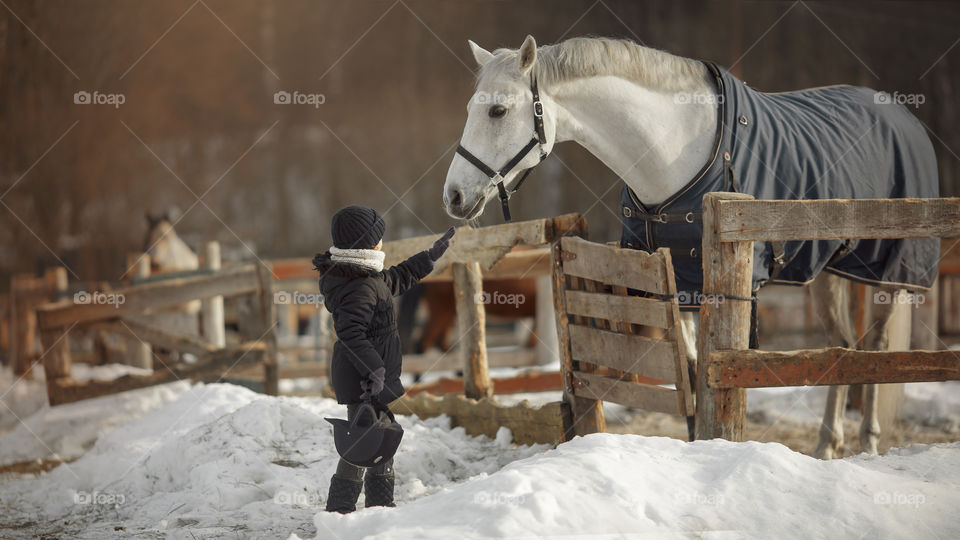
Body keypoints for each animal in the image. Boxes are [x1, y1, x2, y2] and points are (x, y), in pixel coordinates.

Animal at [442, 35, 916, 458]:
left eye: (498, 110)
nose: (454, 197)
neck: (673, 153)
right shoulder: (683, 285)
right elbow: (689, 369)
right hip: (829, 269)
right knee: (843, 346)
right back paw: (826, 444)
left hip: (887, 272)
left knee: (876, 347)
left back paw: (869, 442)